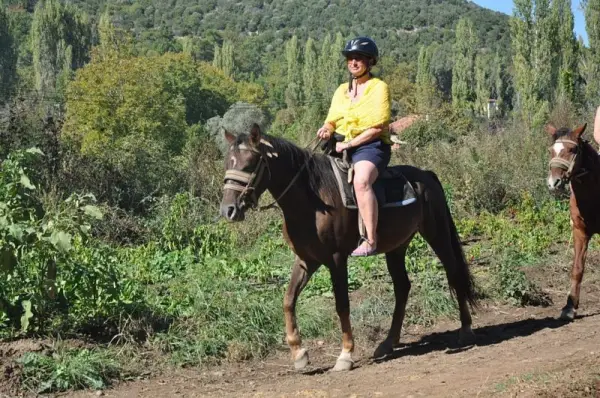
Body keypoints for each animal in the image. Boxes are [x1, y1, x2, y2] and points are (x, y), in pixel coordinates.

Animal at [218, 123, 476, 370]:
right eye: (228, 162)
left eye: (250, 163)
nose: (228, 210)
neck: (313, 201)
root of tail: (426, 175)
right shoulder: (306, 260)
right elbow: (288, 300)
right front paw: (299, 354)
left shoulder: (336, 259)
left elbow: (342, 304)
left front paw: (346, 355)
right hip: (397, 247)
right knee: (402, 287)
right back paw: (388, 343)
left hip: (437, 234)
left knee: (453, 273)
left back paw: (465, 330)